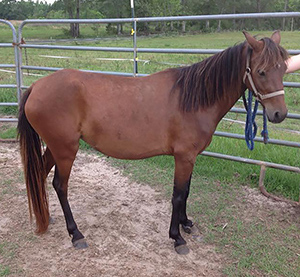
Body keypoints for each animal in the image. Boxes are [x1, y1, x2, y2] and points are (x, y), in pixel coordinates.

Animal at [18, 30, 288, 252]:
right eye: (261, 71)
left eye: (283, 69)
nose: (280, 114)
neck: (193, 99)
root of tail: (36, 87)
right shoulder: (184, 157)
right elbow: (178, 194)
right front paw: (177, 238)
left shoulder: (190, 158)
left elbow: (186, 191)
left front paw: (186, 223)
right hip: (66, 150)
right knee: (60, 186)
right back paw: (76, 234)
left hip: (55, 147)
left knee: (40, 173)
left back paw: (46, 216)